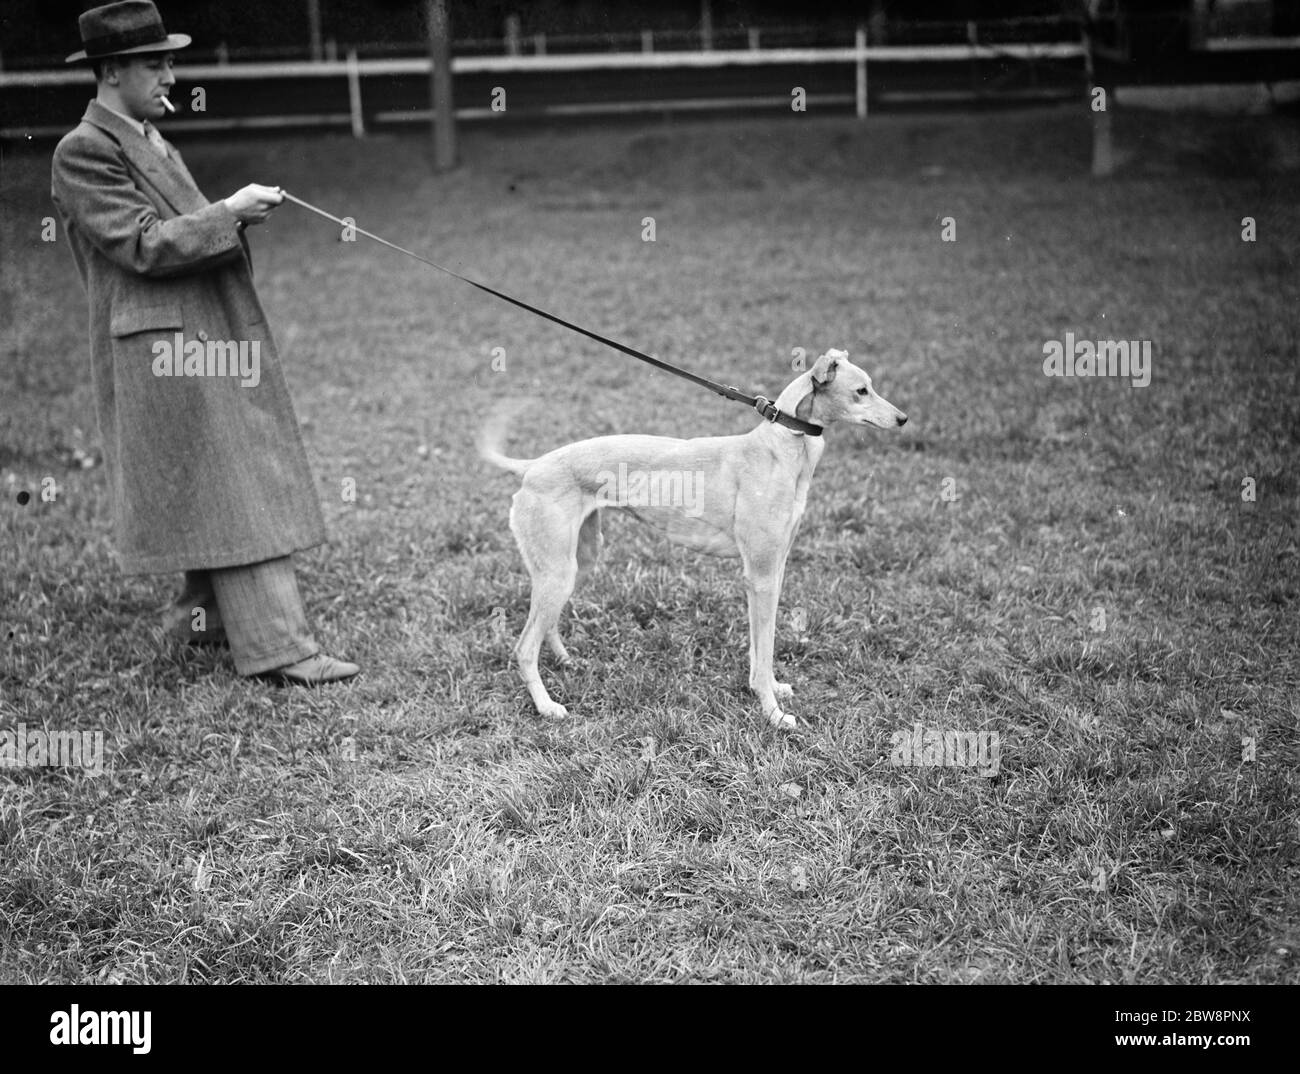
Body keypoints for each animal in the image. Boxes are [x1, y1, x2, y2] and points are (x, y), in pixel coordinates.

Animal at [478, 348, 904, 728]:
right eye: (862, 390)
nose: (904, 418)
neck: (780, 447)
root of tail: (533, 466)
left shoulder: (774, 570)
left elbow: (760, 648)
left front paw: (772, 688)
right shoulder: (761, 576)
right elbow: (764, 649)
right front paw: (773, 714)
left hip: (578, 562)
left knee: (546, 625)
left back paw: (567, 662)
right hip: (556, 572)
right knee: (524, 647)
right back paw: (546, 707)